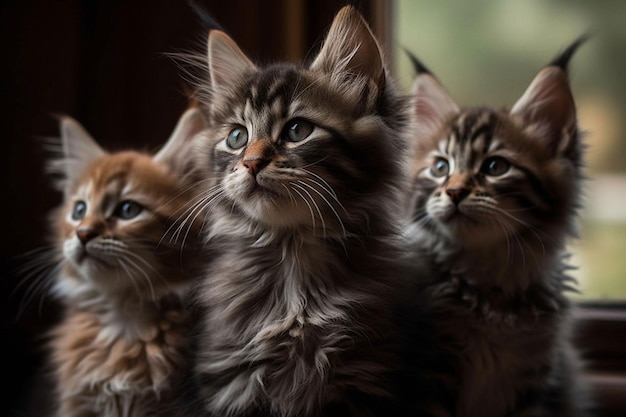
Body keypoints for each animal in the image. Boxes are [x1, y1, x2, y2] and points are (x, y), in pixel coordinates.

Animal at [183, 5, 412, 416]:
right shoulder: (231, 380)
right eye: (237, 137)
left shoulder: (366, 375)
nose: (251, 163)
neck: (292, 259)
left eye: (297, 131)